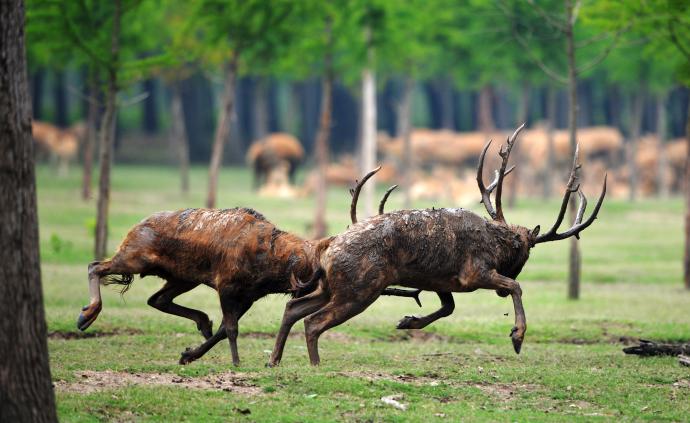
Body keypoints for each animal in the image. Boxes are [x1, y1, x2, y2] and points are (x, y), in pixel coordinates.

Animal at [77, 193, 416, 368]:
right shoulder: (226, 284)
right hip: (135, 257)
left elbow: (225, 328)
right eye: (322, 266)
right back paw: (86, 315)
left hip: (182, 277)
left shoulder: (250, 295)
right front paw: (236, 362)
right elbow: (231, 328)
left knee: (156, 298)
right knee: (96, 265)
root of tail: (135, 227)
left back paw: (202, 321)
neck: (271, 267)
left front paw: (189, 354)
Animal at [266, 124, 604, 366]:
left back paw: (274, 360)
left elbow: (448, 307)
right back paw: (315, 364)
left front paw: (408, 321)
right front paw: (517, 336)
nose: (498, 293)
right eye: (527, 251)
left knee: (292, 307)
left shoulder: (442, 281)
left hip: (332, 286)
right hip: (359, 288)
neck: (496, 243)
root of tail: (326, 251)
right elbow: (514, 287)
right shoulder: (474, 273)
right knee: (312, 321)